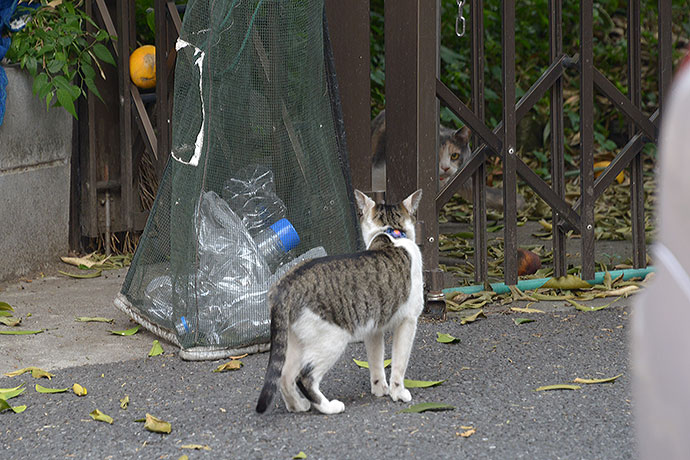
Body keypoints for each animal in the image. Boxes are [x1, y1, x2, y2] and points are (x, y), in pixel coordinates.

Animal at [255, 189, 422, 416]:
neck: (390, 234)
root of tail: (285, 286)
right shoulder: (409, 321)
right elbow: (399, 363)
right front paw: (398, 393)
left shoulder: (373, 328)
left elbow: (376, 360)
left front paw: (380, 389)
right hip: (332, 339)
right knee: (304, 378)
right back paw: (328, 407)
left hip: (295, 341)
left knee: (285, 375)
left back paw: (298, 406)